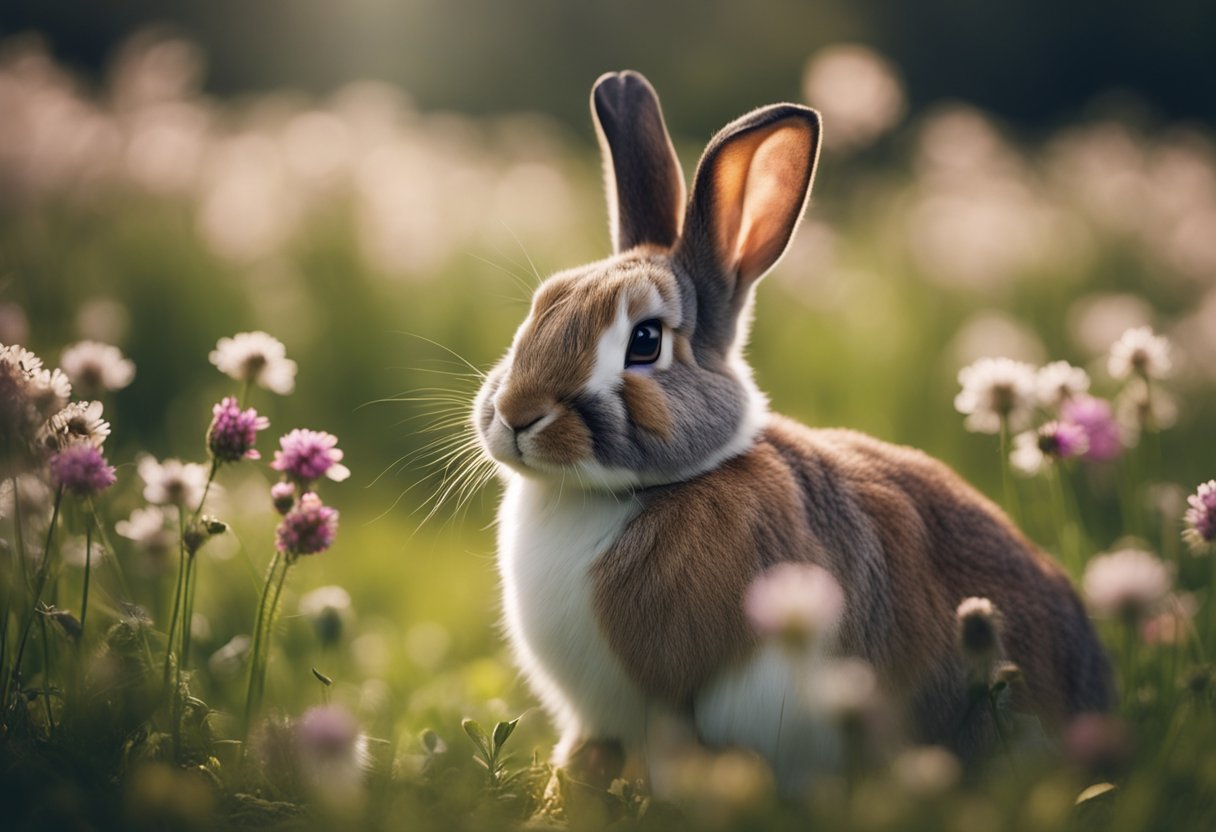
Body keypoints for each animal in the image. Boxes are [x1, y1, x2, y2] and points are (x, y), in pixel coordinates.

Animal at [471, 71, 1113, 793]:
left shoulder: (679, 705)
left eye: (645, 341)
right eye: (541, 307)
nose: (517, 414)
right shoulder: (597, 717)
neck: (628, 492)